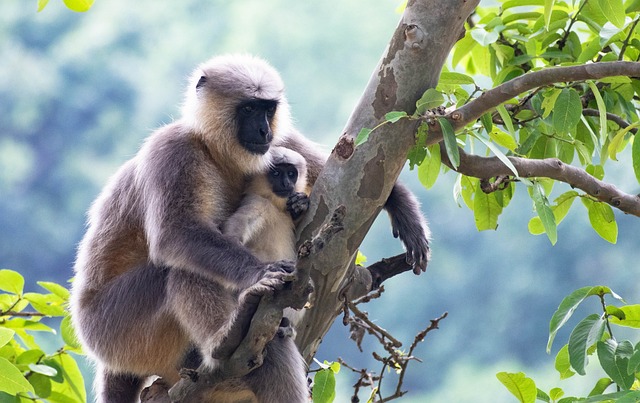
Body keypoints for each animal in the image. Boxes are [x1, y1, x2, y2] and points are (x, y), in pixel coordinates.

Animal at [70, 54, 430, 403]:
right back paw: (226, 339)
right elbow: (176, 234)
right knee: (180, 270)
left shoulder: (278, 142)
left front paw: (403, 211)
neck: (217, 152)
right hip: (117, 329)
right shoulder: (173, 148)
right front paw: (261, 274)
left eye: (267, 109)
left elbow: (342, 160)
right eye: (247, 109)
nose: (262, 130)